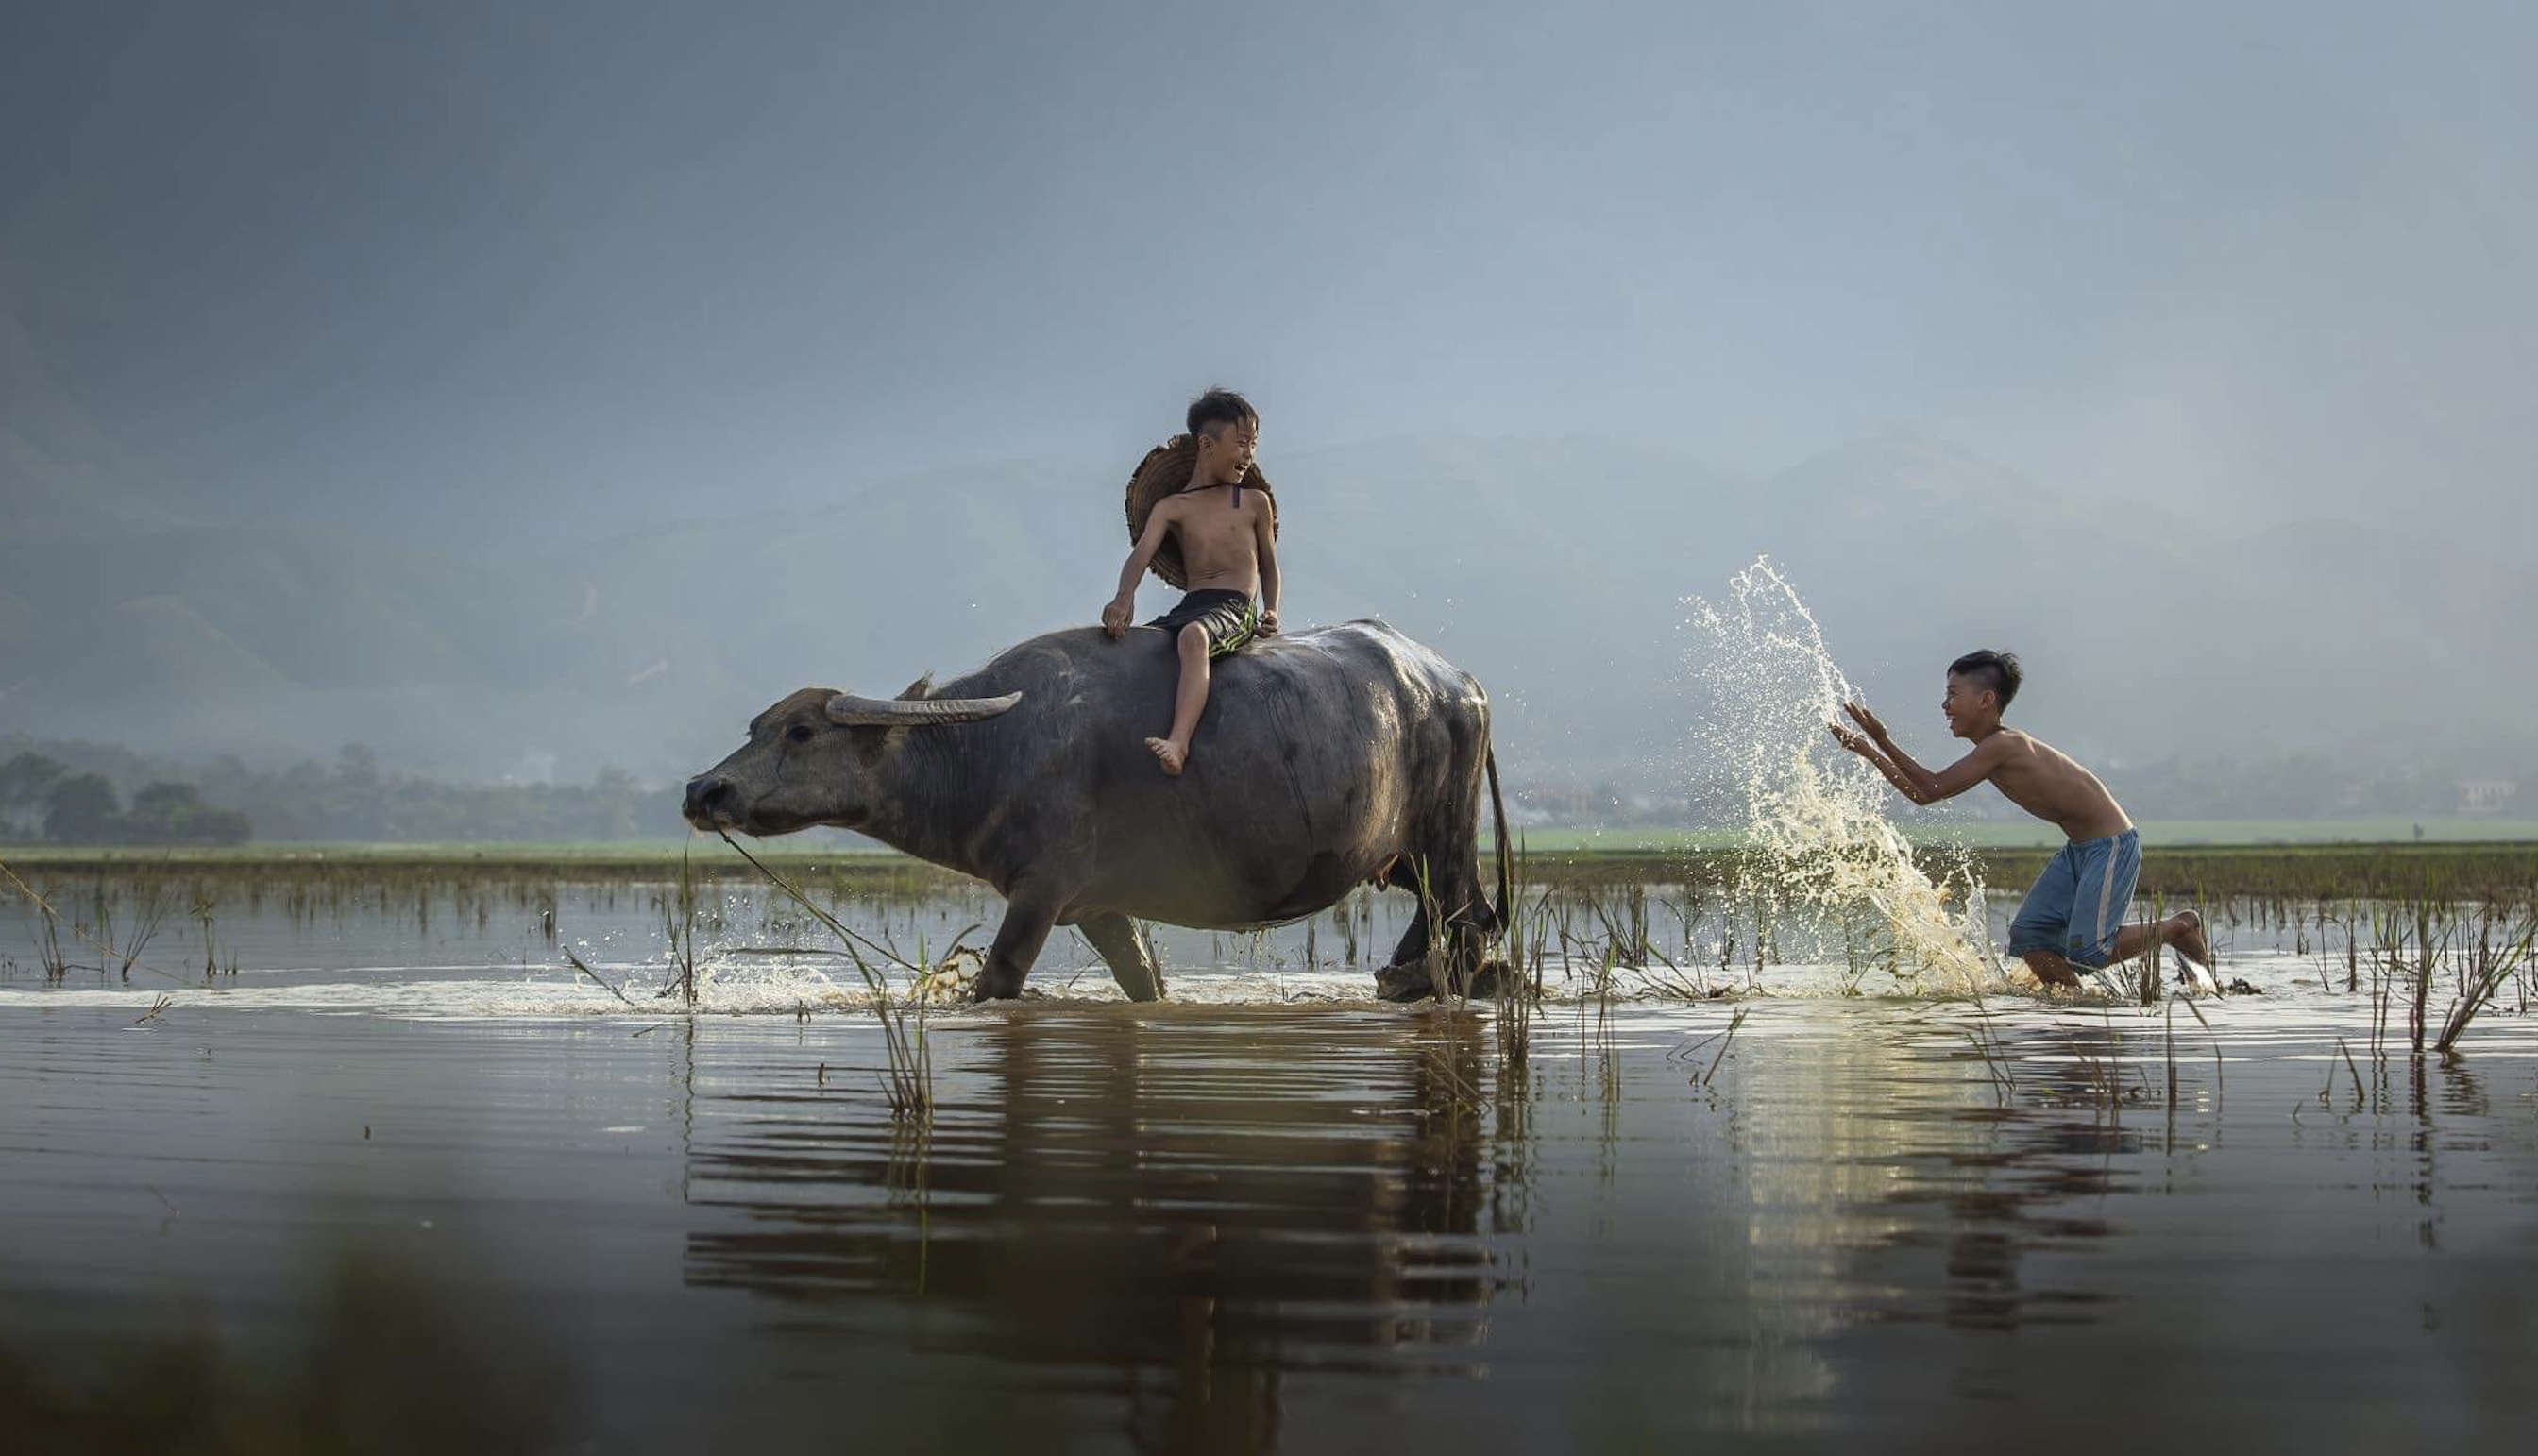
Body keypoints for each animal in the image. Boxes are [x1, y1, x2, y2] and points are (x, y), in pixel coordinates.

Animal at [680, 621, 1502, 1009]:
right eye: (756, 726)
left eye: (801, 732)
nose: (703, 792)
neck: (989, 750)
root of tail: (1456, 682)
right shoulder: (1096, 905)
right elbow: (1144, 982)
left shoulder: (1040, 892)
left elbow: (999, 979)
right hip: (1407, 858)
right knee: (1448, 922)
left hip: (1447, 838)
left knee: (1467, 925)